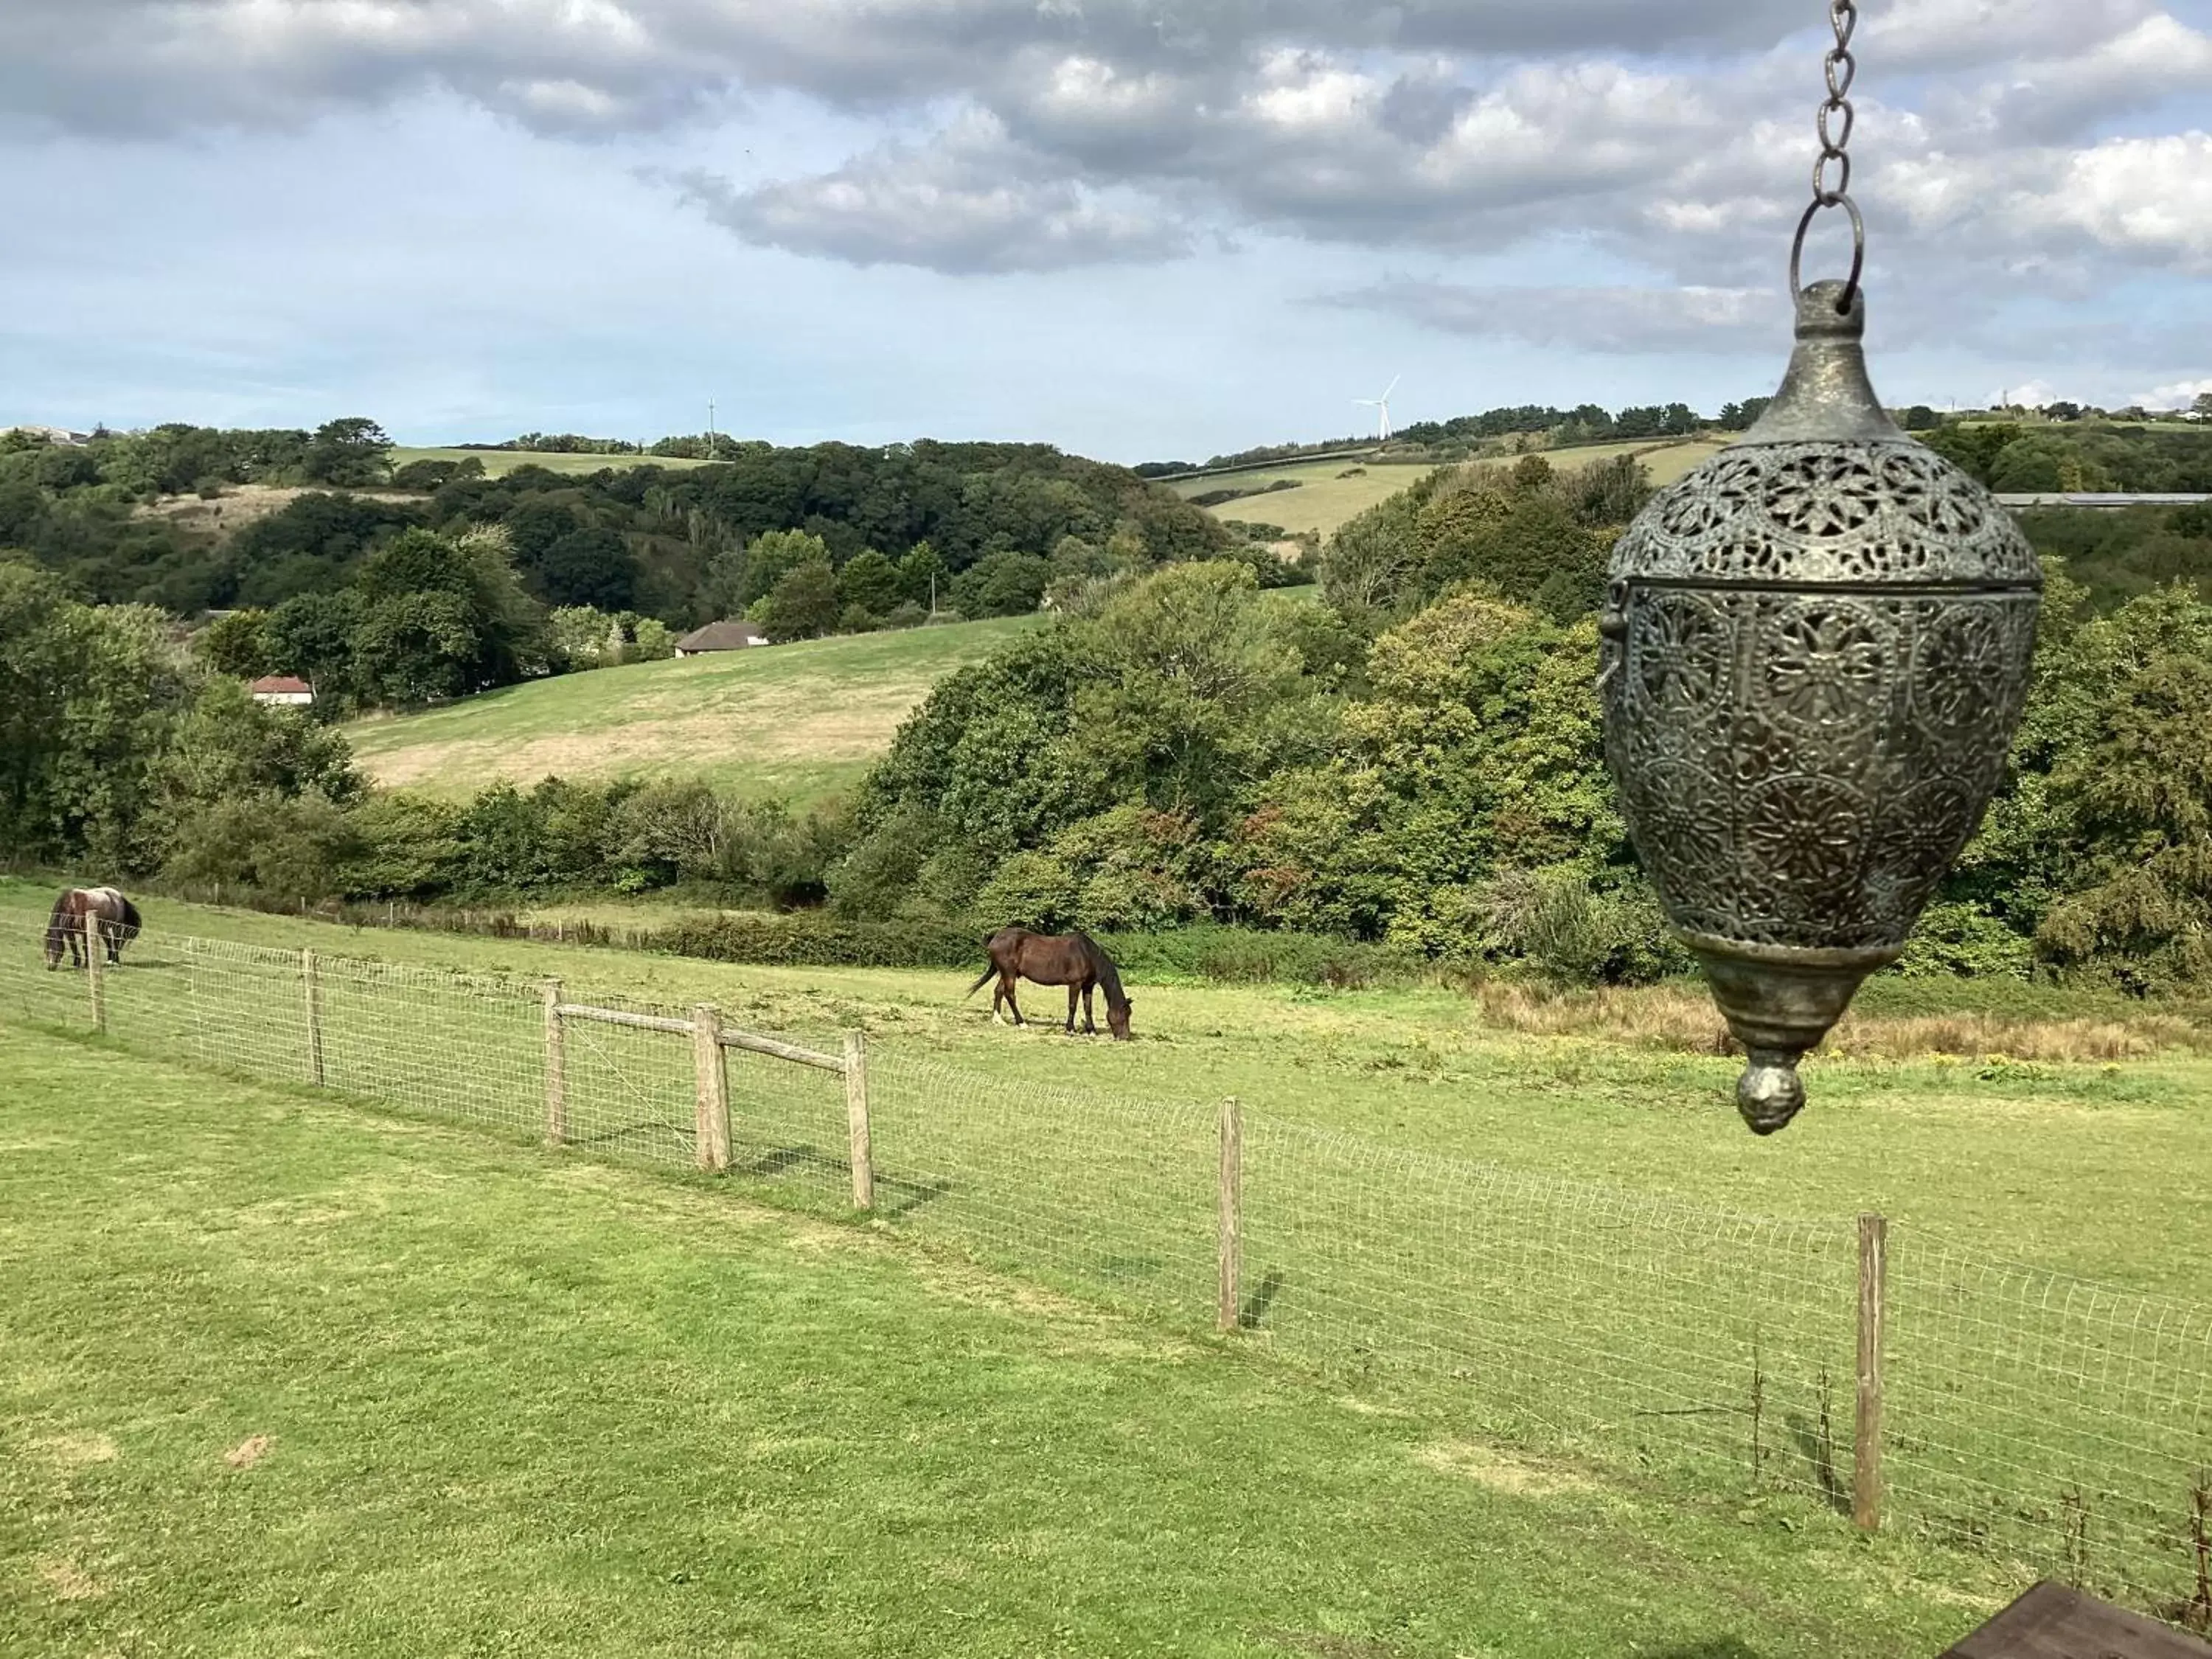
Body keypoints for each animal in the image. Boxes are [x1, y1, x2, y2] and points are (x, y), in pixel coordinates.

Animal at [44, 889, 140, 969]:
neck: (72, 905)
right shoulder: (69, 931)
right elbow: (74, 945)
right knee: (109, 941)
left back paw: (115, 961)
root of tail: (120, 897)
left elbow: (85, 947)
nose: (50, 967)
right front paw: (77, 963)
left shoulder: (85, 931)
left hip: (116, 927)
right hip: (103, 928)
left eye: (54, 947)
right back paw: (109, 960)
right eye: (46, 949)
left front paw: (86, 964)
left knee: (116, 942)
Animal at [964, 929, 1133, 1044]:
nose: (1125, 1037)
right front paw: (1070, 1030)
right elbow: (1072, 1006)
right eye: (1124, 1014)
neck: (1087, 955)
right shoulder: (1075, 984)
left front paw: (1091, 1031)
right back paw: (1022, 1023)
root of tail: (997, 936)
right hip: (1009, 973)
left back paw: (998, 1020)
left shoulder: (1088, 986)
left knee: (999, 991)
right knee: (1010, 994)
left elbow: (1088, 1008)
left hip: (1007, 973)